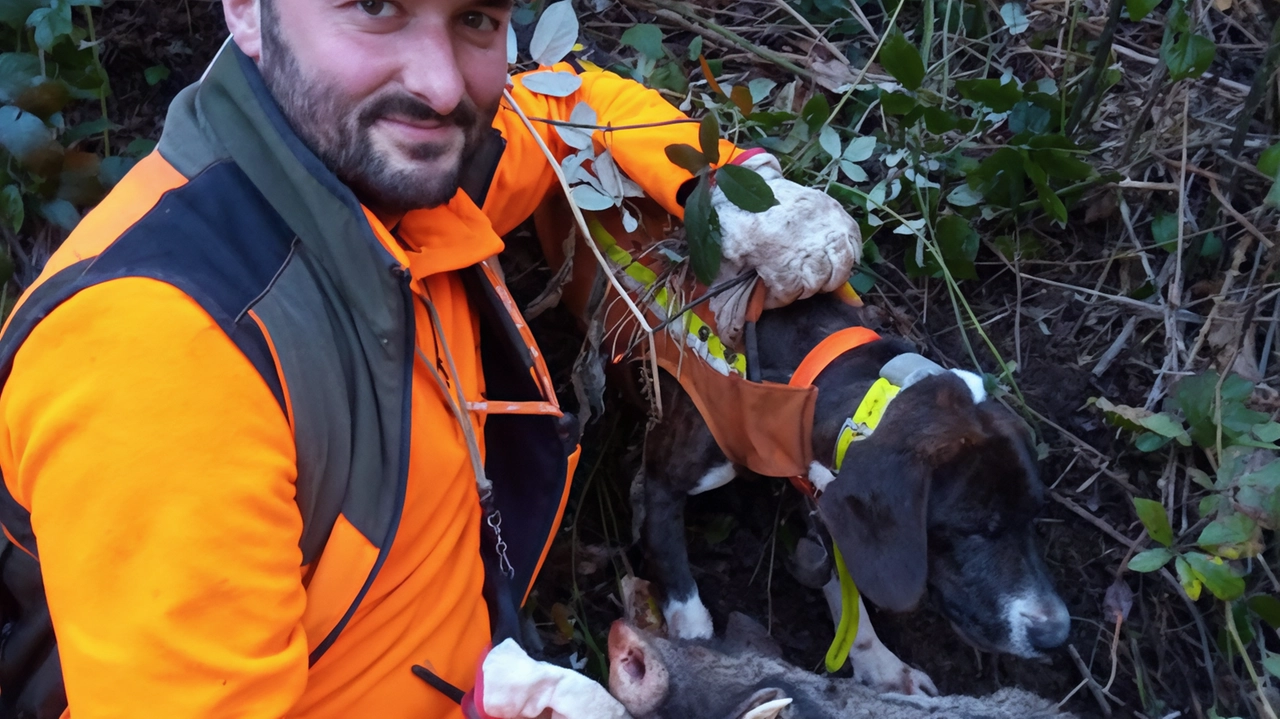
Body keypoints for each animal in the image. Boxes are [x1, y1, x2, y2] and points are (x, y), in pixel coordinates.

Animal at [640, 291, 1070, 695]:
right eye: (974, 530)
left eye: (1034, 515)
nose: (1056, 635)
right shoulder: (659, 480)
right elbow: (679, 586)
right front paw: (696, 652)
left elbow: (847, 593)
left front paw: (882, 666)